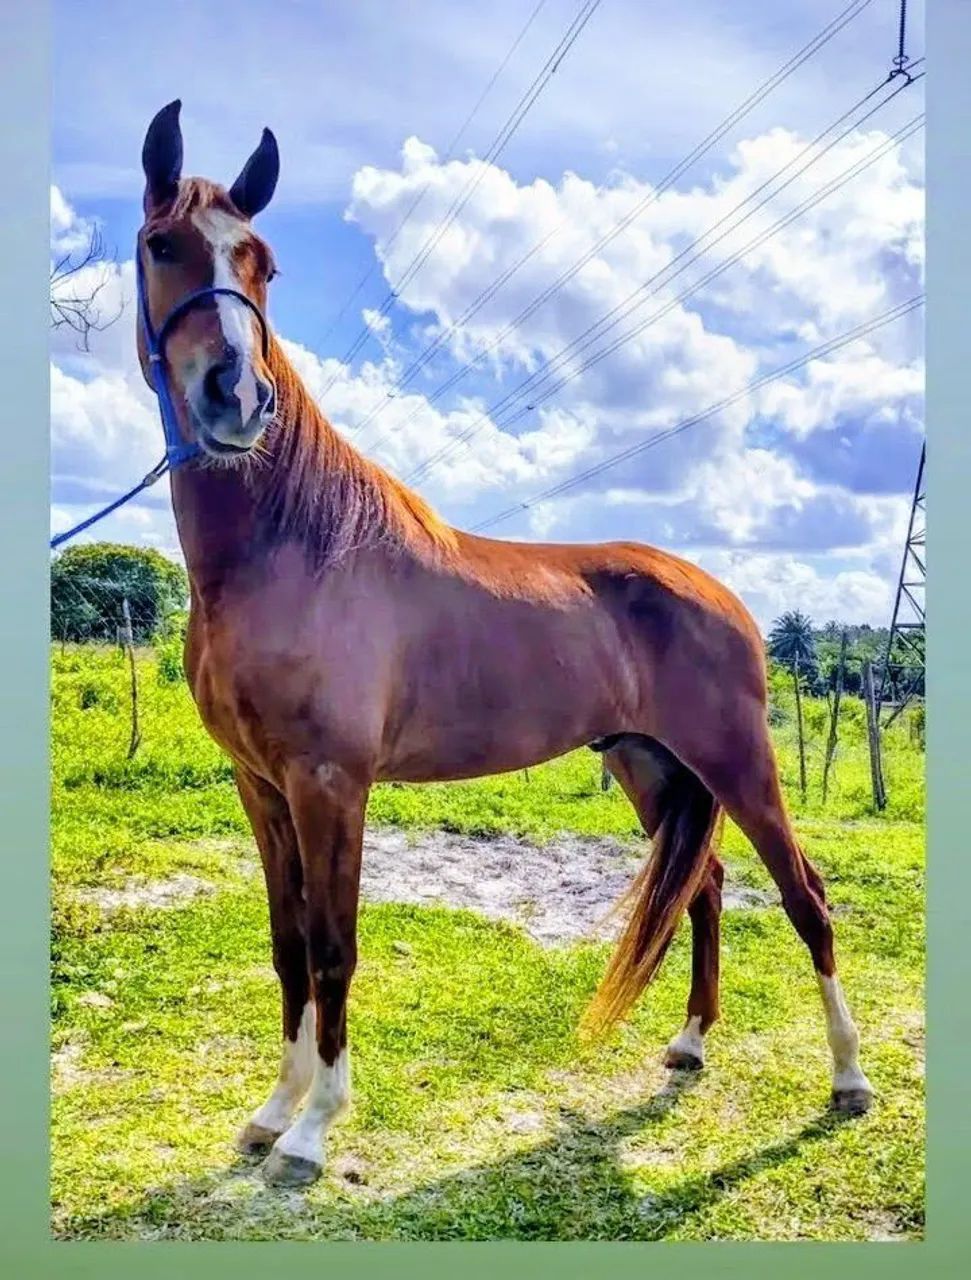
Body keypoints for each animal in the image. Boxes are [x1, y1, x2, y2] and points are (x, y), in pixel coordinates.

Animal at [134, 100, 873, 1187]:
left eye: (263, 263)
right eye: (161, 245)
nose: (239, 395)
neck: (289, 547)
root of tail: (724, 596)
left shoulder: (328, 782)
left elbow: (333, 945)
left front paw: (314, 1130)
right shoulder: (259, 785)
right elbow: (285, 943)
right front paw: (270, 1112)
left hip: (738, 761)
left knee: (804, 896)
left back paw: (848, 1079)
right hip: (652, 767)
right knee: (702, 889)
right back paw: (690, 1041)